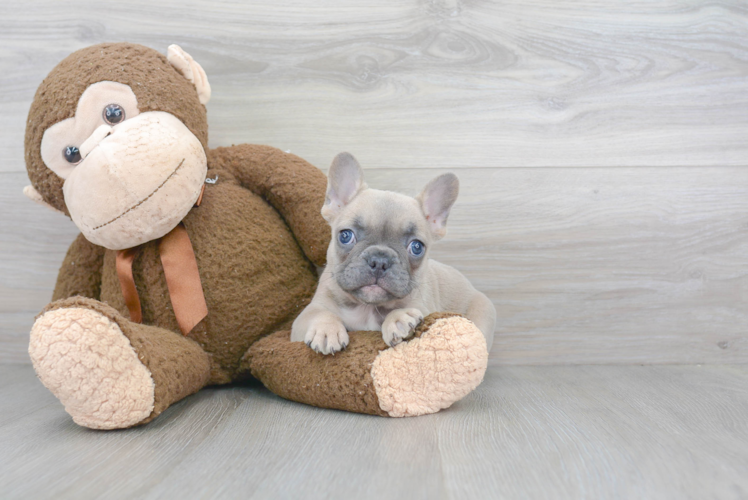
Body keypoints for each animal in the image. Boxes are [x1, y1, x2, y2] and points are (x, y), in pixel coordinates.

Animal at [292, 152, 496, 356]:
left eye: (417, 247)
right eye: (345, 235)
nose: (379, 261)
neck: (367, 308)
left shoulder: (424, 307)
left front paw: (399, 318)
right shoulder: (305, 317)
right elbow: (319, 313)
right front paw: (326, 329)